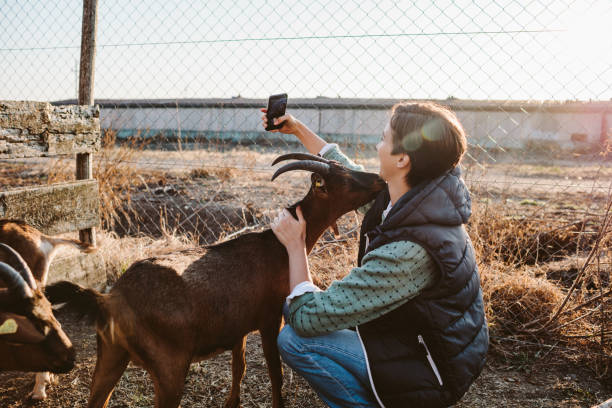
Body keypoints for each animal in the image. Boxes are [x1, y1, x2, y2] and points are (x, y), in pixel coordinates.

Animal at [46, 154, 382, 408]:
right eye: (346, 180)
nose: (379, 180)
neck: (277, 246)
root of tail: (111, 299)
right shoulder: (269, 318)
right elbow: (274, 372)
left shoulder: (238, 327)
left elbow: (239, 367)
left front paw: (232, 403)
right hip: (169, 367)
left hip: (111, 356)